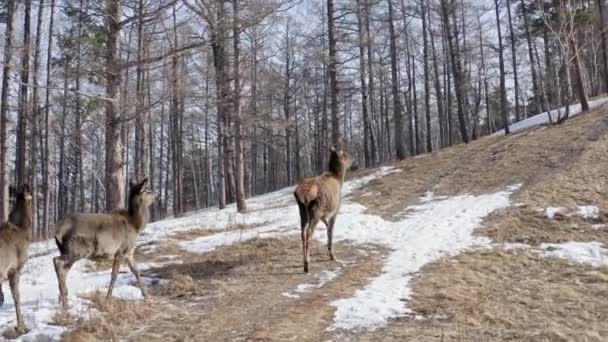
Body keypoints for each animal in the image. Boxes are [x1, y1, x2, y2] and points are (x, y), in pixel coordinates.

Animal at [53, 179, 156, 310]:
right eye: (148, 191)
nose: (157, 196)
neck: (136, 226)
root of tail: (58, 231)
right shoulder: (121, 251)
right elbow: (114, 275)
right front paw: (108, 300)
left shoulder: (129, 253)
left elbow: (136, 272)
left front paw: (147, 296)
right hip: (78, 249)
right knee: (57, 261)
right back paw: (64, 302)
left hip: (67, 250)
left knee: (63, 269)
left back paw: (63, 299)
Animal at [294, 144, 352, 272]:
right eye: (345, 154)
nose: (353, 159)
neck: (339, 179)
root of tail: (303, 195)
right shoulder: (335, 210)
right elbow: (330, 231)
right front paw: (332, 255)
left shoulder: (323, 215)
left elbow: (327, 226)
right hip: (315, 210)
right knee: (309, 233)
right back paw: (307, 264)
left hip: (303, 212)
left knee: (302, 233)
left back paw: (304, 261)